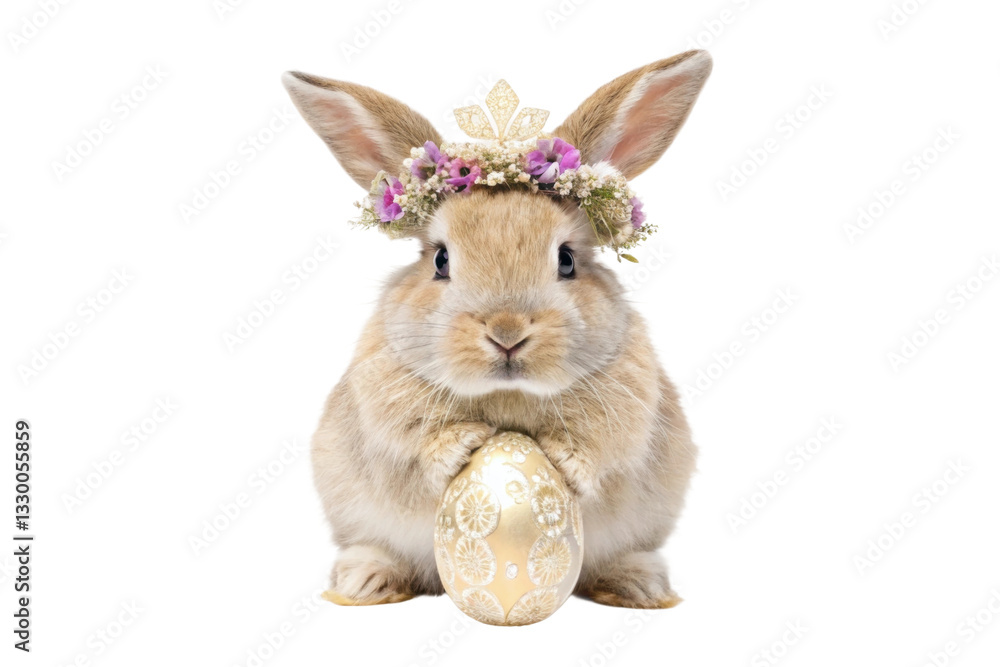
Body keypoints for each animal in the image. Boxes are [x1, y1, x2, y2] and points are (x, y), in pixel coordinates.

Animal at [282, 49, 712, 609]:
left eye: (567, 260)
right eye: (440, 260)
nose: (507, 333)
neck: (509, 394)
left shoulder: (630, 415)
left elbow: (601, 451)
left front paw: (564, 459)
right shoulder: (384, 418)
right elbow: (415, 448)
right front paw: (462, 444)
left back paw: (638, 584)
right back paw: (365, 580)